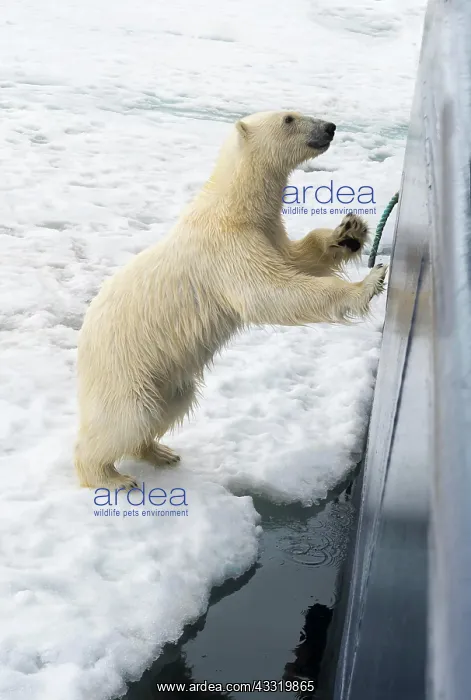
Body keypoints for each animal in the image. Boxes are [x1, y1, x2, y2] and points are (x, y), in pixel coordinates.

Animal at [74, 110, 387, 490]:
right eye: (289, 118)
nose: (329, 127)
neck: (231, 207)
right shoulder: (227, 248)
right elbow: (272, 293)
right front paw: (369, 282)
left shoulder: (267, 233)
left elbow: (298, 258)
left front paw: (350, 232)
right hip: (125, 369)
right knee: (127, 417)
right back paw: (111, 478)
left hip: (166, 377)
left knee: (169, 407)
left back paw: (160, 452)